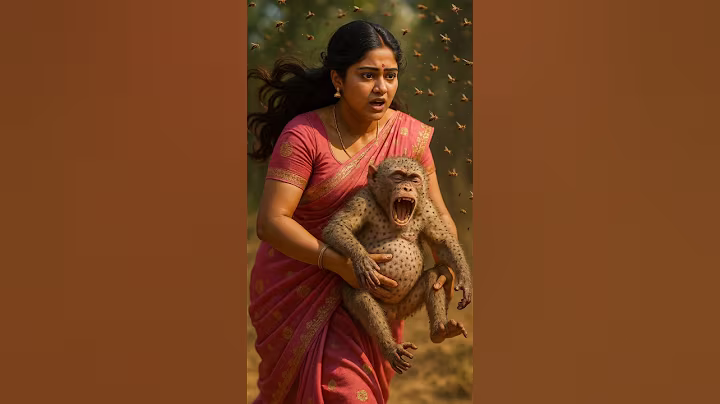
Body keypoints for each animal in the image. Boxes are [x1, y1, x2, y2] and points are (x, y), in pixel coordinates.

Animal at [322, 156, 473, 374]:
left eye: (414, 179)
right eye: (398, 177)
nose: (407, 187)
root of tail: (392, 313)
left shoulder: (427, 208)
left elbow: (441, 241)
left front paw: (464, 279)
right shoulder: (362, 200)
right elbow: (338, 227)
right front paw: (362, 260)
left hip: (405, 307)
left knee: (433, 277)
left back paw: (440, 330)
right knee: (360, 296)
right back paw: (390, 346)